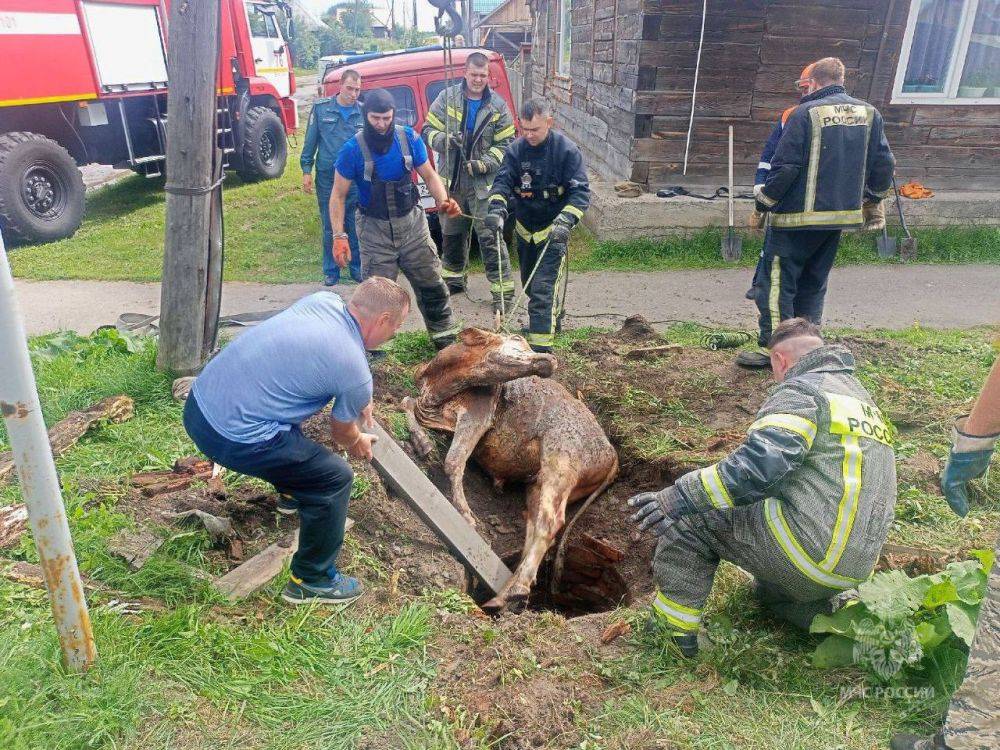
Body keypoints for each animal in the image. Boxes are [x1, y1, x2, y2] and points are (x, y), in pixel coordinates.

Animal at [398, 328, 616, 612]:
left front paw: (465, 514)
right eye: (516, 339)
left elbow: (453, 460)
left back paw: (517, 590)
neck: (439, 382)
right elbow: (407, 402)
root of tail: (611, 452)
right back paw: (506, 594)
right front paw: (423, 443)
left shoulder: (477, 415)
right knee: (534, 523)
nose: (549, 359)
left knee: (550, 521)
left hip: (561, 459)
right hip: (538, 483)